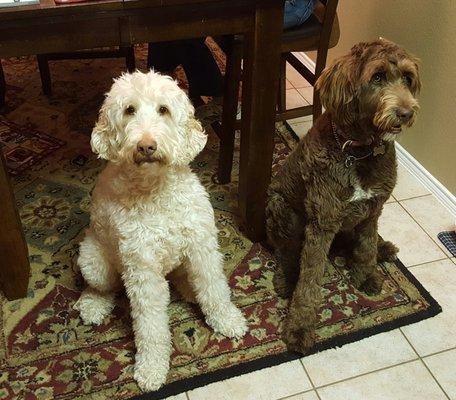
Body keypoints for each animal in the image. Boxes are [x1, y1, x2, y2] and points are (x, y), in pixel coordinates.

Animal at [73, 71, 248, 390]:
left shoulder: (202, 246)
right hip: (93, 260)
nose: (146, 146)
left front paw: (226, 319)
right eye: (129, 110)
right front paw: (151, 367)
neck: (156, 190)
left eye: (163, 109)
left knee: (183, 278)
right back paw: (92, 305)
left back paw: (190, 289)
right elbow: (150, 325)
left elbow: (215, 288)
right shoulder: (142, 269)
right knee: (104, 287)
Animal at [268, 39, 420, 352]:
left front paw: (366, 274)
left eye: (408, 78)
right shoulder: (322, 222)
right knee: (287, 250)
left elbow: (366, 247)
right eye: (377, 77)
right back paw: (286, 278)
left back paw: (383, 248)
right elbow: (310, 279)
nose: (406, 113)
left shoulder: (373, 209)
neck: (359, 152)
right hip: (282, 209)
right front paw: (299, 326)